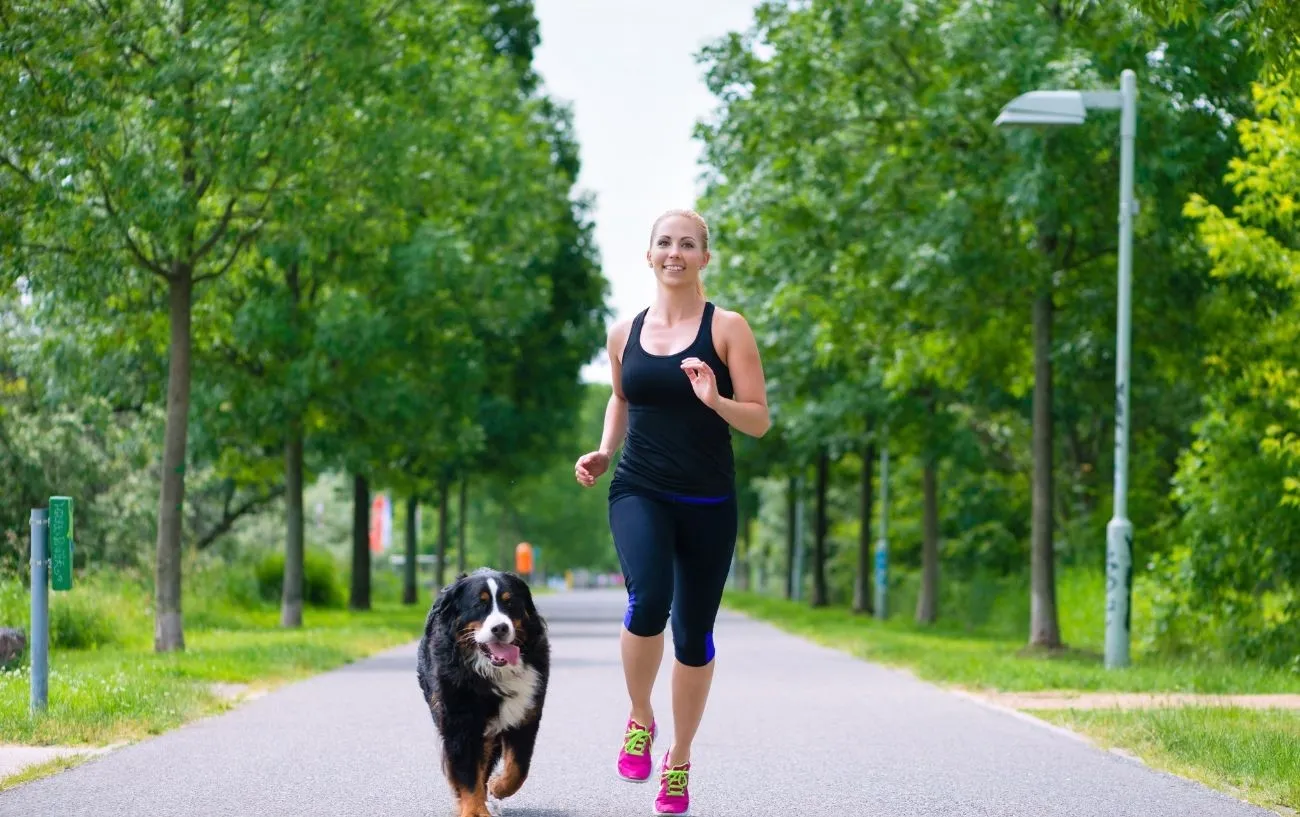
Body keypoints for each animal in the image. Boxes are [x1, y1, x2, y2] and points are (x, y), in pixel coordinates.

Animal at [416, 567, 548, 817]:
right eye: (479, 604)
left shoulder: (526, 714)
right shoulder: (460, 722)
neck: (492, 672)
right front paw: (474, 810)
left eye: (509, 603)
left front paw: (498, 786)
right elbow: (468, 774)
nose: (500, 628)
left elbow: (519, 767)